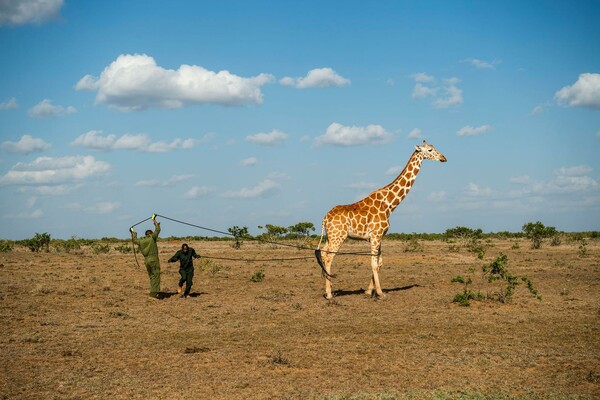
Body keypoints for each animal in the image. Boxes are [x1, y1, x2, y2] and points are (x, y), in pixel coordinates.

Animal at [316, 141, 442, 300]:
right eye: (430, 150)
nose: (443, 158)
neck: (389, 204)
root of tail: (325, 218)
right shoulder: (376, 235)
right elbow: (374, 263)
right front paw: (380, 293)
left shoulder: (378, 236)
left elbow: (379, 262)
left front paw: (369, 291)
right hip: (338, 237)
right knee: (328, 257)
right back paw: (329, 294)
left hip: (330, 236)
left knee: (323, 254)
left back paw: (331, 289)